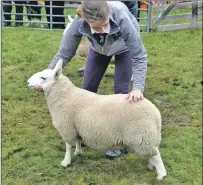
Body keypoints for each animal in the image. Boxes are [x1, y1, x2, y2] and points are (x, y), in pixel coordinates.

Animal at [27, 59, 167, 181]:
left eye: (43, 78)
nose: (28, 82)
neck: (66, 96)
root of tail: (155, 113)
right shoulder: (76, 127)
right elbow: (78, 141)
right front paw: (78, 152)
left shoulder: (67, 128)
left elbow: (68, 146)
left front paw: (66, 162)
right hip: (147, 136)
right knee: (153, 153)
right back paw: (151, 166)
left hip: (142, 135)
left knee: (156, 155)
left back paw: (161, 175)